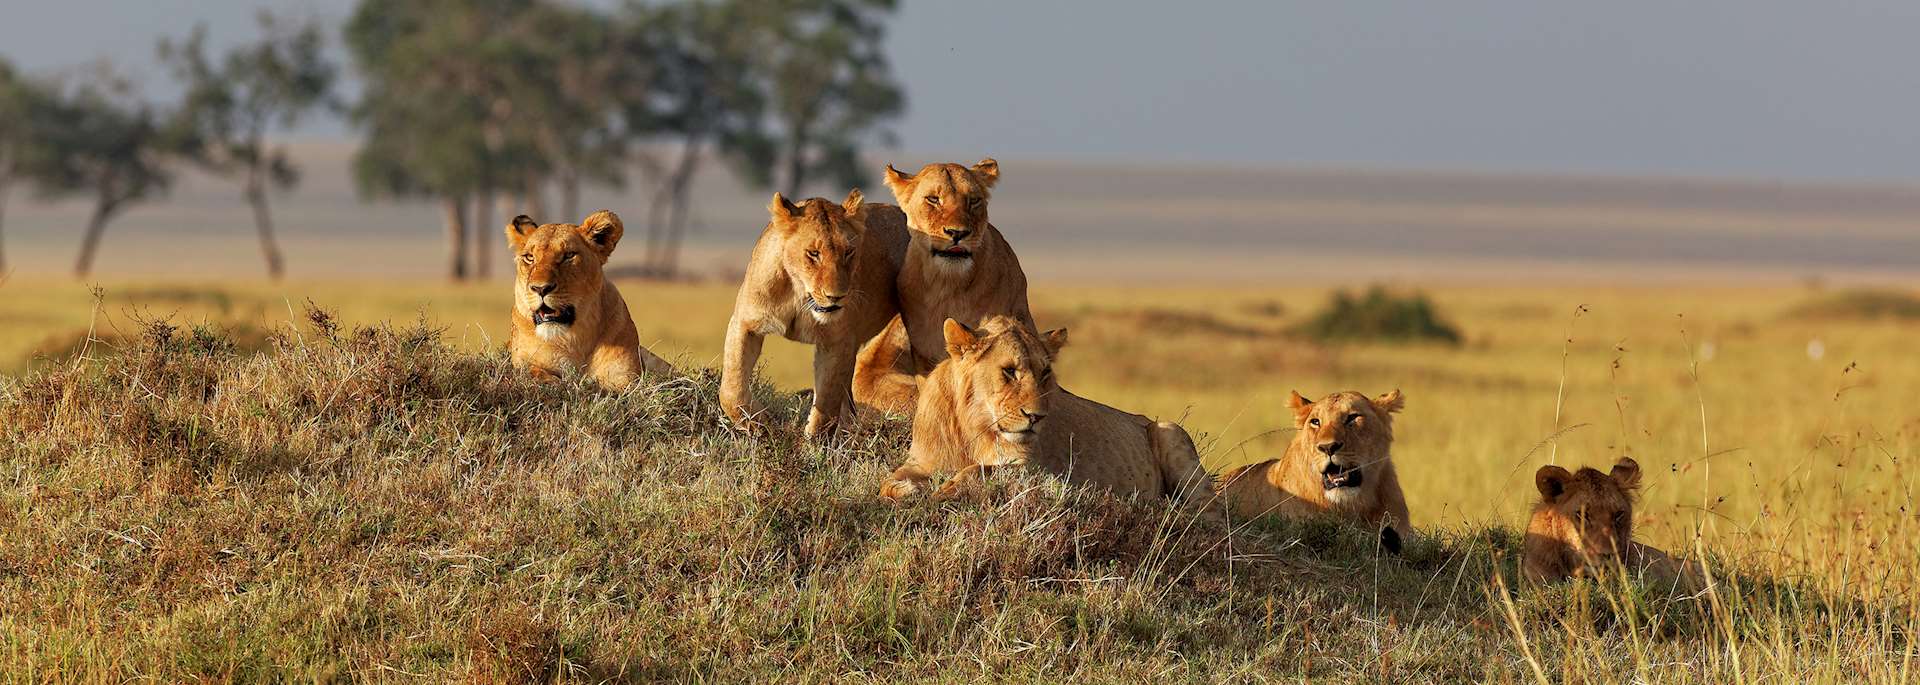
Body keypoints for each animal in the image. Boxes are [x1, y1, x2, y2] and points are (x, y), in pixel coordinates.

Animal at [505, 211, 673, 389]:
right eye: (529, 257)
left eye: (569, 255)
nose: (540, 288)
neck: (575, 340)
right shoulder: (523, 361)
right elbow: (534, 371)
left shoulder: (626, 377)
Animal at [720, 189, 911, 438]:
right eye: (813, 253)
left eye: (849, 252)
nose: (836, 296)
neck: (799, 295)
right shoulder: (745, 323)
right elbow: (731, 388)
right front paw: (758, 425)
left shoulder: (837, 341)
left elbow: (827, 404)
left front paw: (813, 442)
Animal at [878, 316, 1214, 511]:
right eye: (1009, 371)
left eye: (1044, 373)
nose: (1036, 417)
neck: (973, 428)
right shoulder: (920, 461)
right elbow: (890, 482)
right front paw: (908, 491)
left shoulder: (1034, 470)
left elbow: (980, 470)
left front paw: (946, 491)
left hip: (1170, 430)